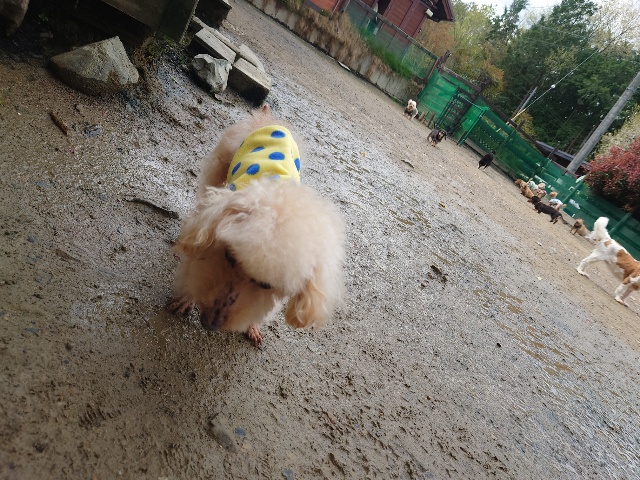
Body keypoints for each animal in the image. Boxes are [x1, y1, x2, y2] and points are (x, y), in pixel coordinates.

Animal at [169, 105, 346, 346]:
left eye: (266, 285)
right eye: (230, 256)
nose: (209, 323)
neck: (278, 192)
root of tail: (268, 117)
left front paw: (253, 327)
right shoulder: (208, 225)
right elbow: (193, 265)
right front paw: (186, 298)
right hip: (218, 167)